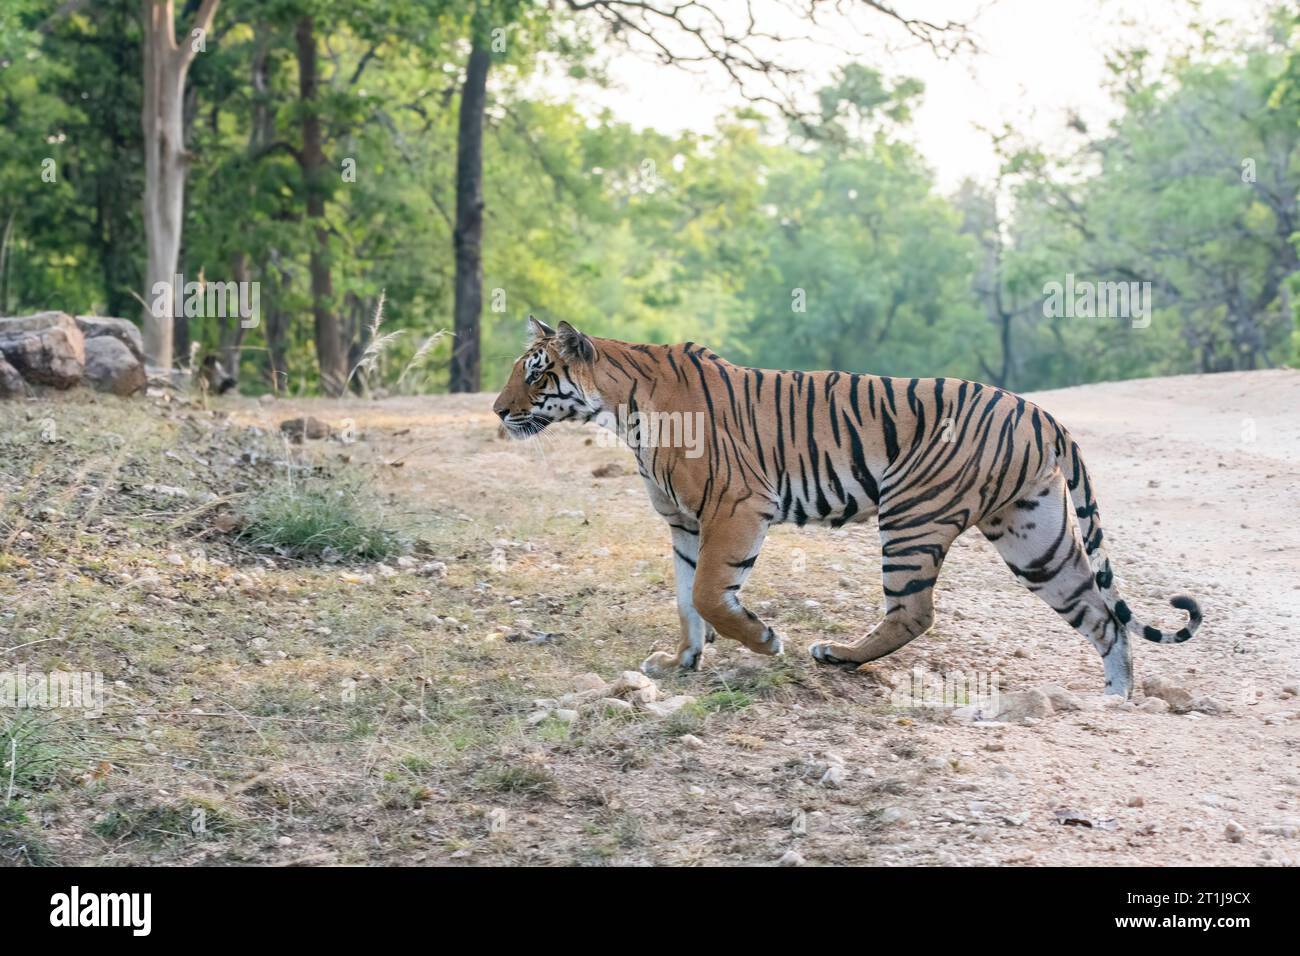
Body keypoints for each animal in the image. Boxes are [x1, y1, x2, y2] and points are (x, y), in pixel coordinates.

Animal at [492, 316, 1203, 697]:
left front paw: (765, 640)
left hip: (913, 514)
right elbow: (685, 601)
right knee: (1101, 615)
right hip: (1035, 536)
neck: (621, 408)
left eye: (535, 372)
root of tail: (1040, 411)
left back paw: (835, 655)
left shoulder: (736, 506)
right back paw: (1115, 699)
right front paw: (681, 663)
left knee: (914, 612)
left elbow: (710, 595)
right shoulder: (683, 523)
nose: (496, 411)